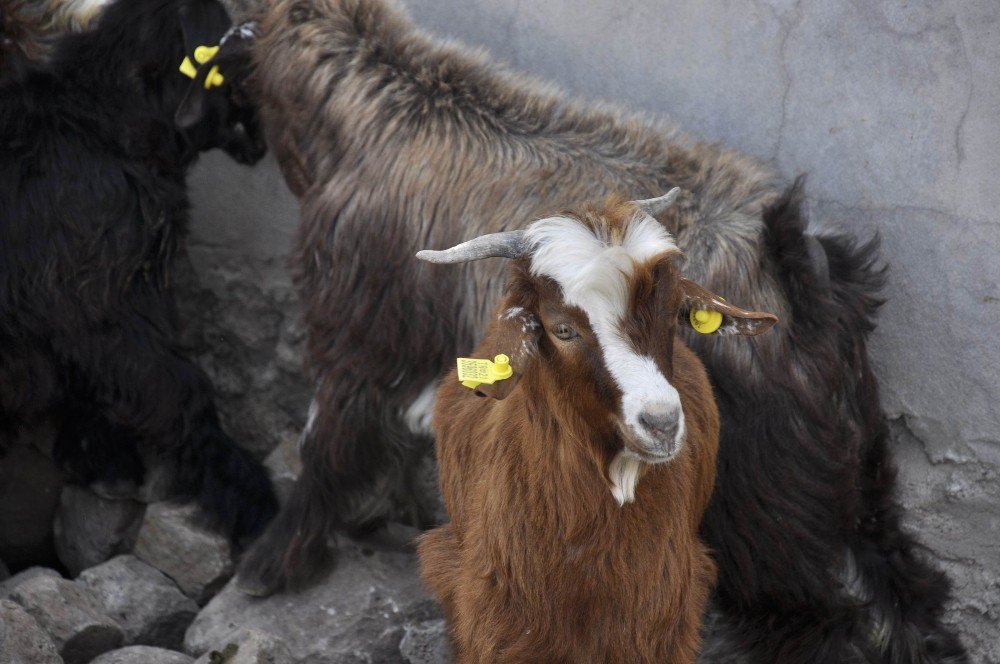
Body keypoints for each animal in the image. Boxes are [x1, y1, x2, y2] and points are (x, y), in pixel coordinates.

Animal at [0, 0, 276, 544]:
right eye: (231, 42)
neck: (105, 123)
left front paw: (100, 456)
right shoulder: (103, 309)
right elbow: (179, 389)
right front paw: (246, 491)